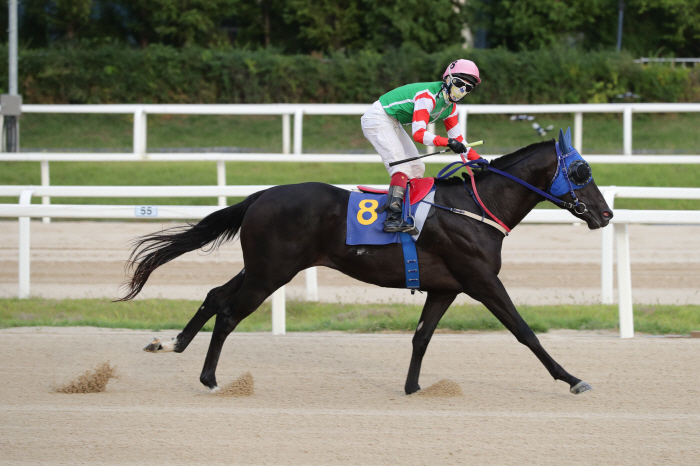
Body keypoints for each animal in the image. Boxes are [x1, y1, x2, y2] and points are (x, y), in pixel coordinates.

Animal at [120, 140, 612, 396]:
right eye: (582, 172)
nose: (606, 214)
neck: (474, 207)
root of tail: (260, 196)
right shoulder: (482, 280)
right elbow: (524, 331)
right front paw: (572, 379)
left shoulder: (446, 288)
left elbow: (421, 337)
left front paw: (413, 388)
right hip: (270, 272)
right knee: (228, 313)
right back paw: (209, 378)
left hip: (262, 266)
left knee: (214, 296)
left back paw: (170, 343)